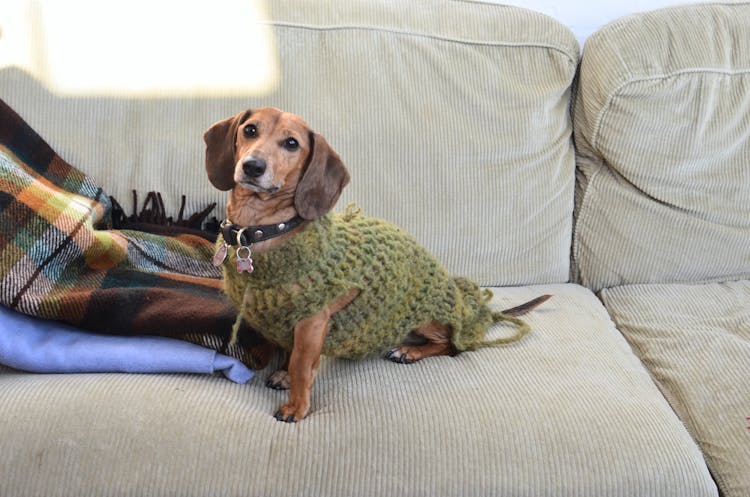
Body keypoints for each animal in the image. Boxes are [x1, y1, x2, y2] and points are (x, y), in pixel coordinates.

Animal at [206, 106, 552, 420]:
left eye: (292, 143)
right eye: (250, 130)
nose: (252, 166)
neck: (261, 231)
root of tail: (469, 308)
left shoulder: (312, 320)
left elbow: (302, 364)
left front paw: (296, 406)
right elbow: (292, 355)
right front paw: (284, 375)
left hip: (424, 313)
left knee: (454, 345)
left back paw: (410, 351)